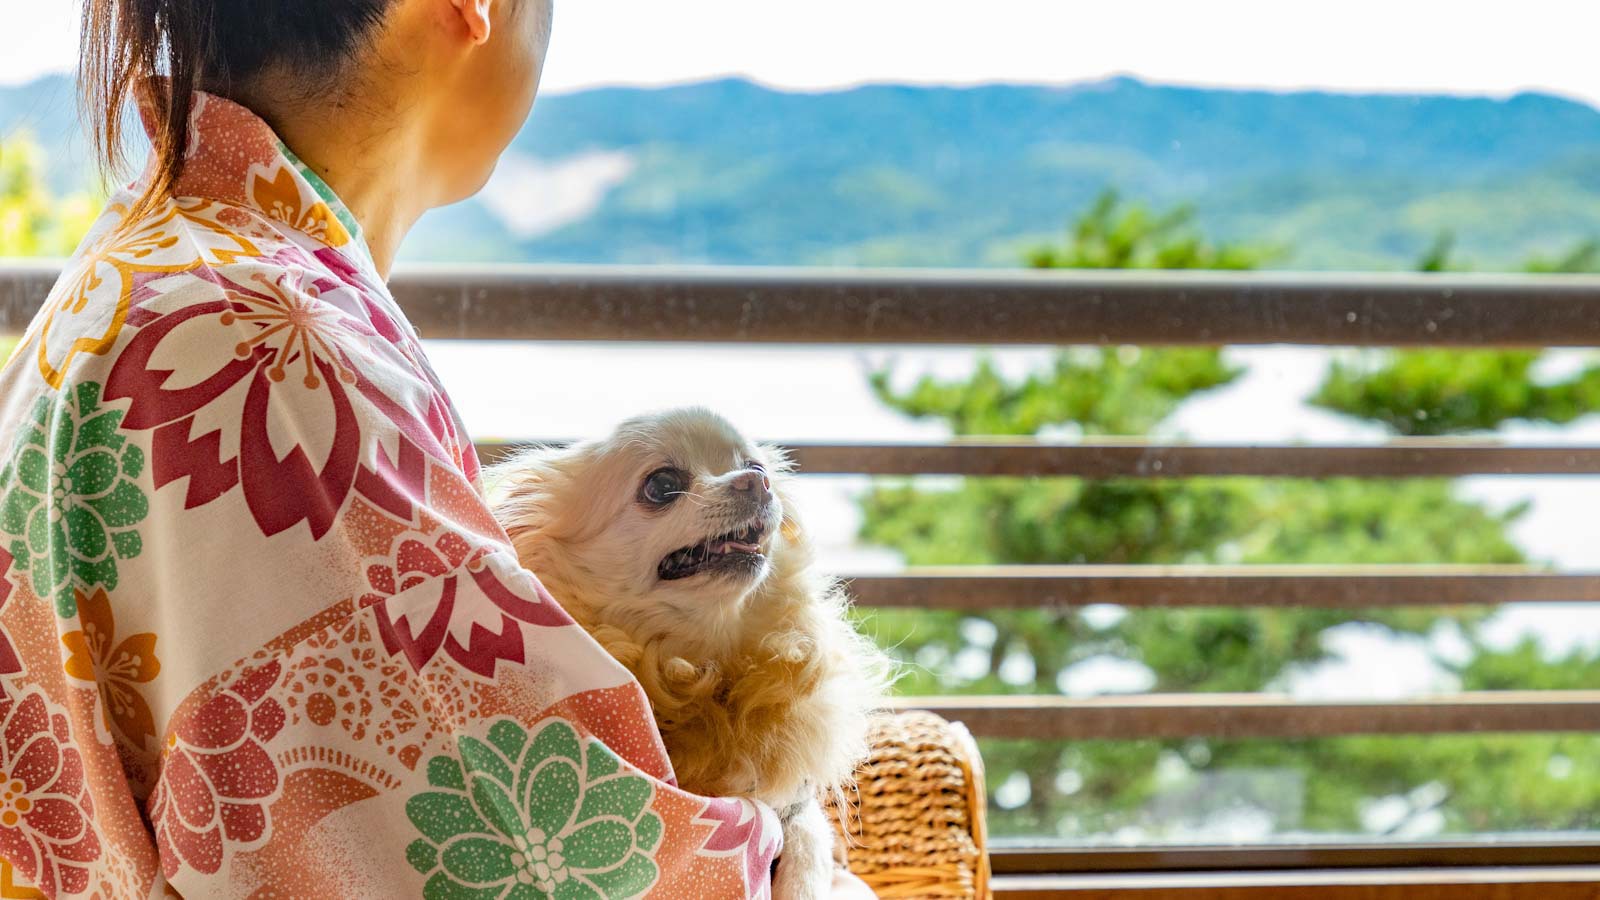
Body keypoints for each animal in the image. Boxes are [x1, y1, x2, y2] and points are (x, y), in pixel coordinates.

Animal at [489, 408, 889, 896]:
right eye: (662, 485)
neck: (700, 664)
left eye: (755, 466)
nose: (757, 482)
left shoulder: (795, 808)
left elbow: (807, 855)